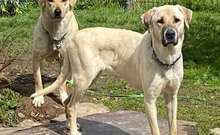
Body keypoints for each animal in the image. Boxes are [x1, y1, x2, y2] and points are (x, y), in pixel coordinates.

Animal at [31, 4, 192, 134]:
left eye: (177, 20)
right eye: (160, 21)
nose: (170, 34)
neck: (166, 60)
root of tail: (73, 38)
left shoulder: (172, 97)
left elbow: (173, 127)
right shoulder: (149, 100)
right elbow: (156, 130)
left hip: (89, 79)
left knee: (66, 102)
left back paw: (70, 126)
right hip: (83, 80)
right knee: (71, 106)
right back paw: (73, 132)